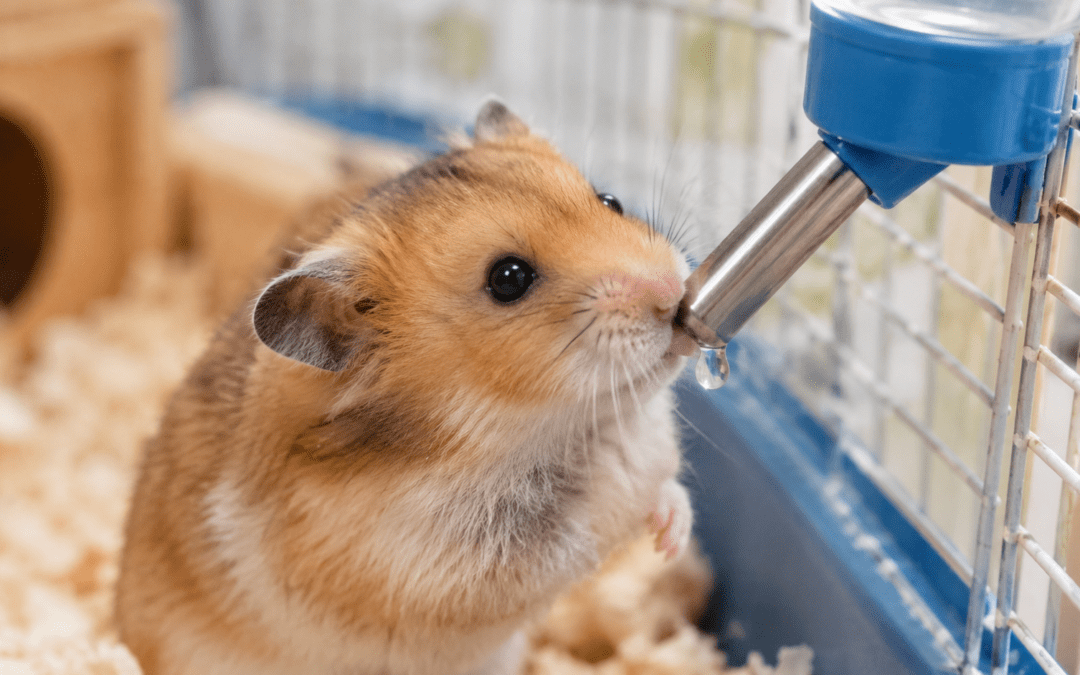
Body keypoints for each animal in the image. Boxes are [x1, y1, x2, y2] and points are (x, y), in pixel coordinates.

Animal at [115, 101, 698, 675]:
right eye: (508, 278)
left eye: (610, 200)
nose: (673, 294)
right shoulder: (449, 568)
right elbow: (600, 510)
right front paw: (661, 535)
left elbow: (660, 476)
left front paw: (672, 534)